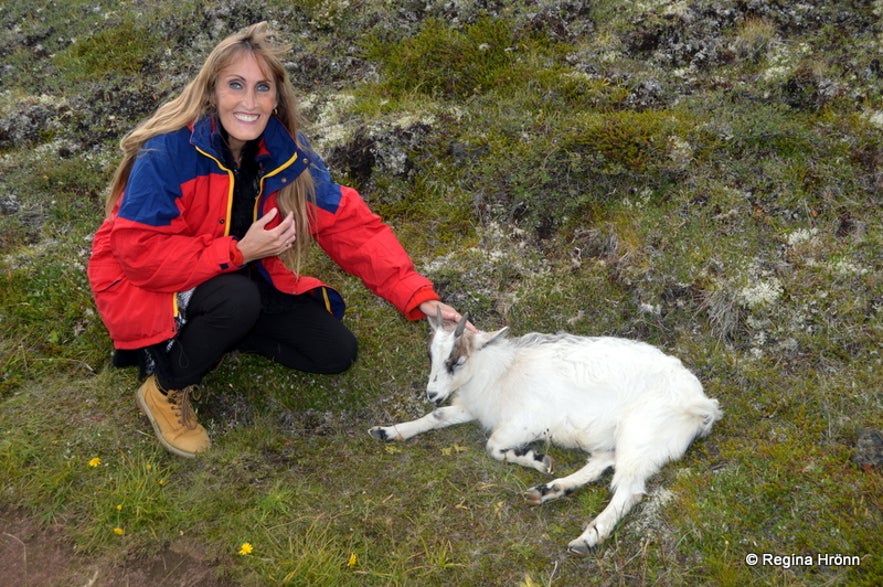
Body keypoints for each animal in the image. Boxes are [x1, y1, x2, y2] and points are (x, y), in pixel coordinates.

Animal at [370, 312, 720, 556]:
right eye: (430, 356)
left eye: (456, 360)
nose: (432, 393)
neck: (501, 372)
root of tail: (699, 404)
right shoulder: (471, 407)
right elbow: (437, 416)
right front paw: (388, 431)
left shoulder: (526, 422)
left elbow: (493, 445)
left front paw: (535, 458)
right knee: (603, 461)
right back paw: (552, 490)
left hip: (641, 436)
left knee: (628, 489)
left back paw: (587, 537)